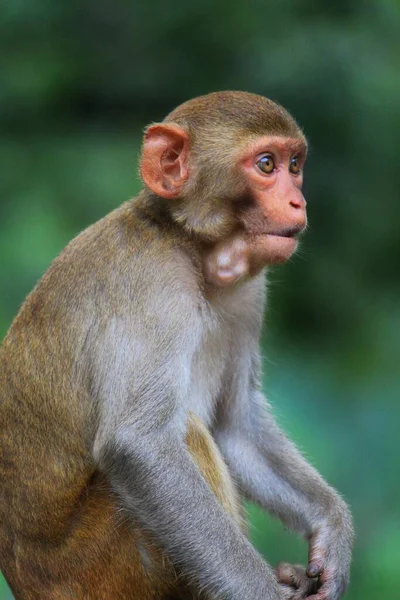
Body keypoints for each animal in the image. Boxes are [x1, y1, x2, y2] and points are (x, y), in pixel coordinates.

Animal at [0, 90, 352, 600]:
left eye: (294, 164)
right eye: (266, 164)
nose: (298, 201)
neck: (189, 248)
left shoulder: (251, 294)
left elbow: (234, 425)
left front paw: (332, 527)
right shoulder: (152, 285)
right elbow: (139, 444)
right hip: (103, 570)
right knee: (181, 431)